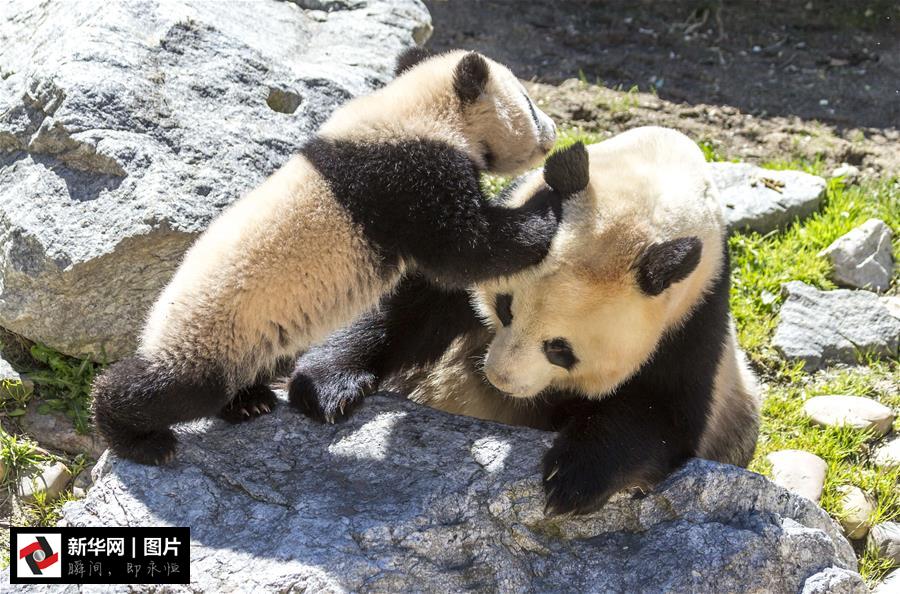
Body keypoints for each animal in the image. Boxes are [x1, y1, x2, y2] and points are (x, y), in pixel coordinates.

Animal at [89, 48, 568, 464]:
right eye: (529, 103)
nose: (554, 131)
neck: (419, 108)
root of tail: (157, 318)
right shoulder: (404, 175)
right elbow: (466, 250)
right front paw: (553, 200)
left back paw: (248, 403)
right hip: (215, 330)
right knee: (174, 387)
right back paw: (136, 435)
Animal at [288, 126, 760, 512]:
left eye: (560, 350)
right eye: (505, 307)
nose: (500, 379)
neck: (657, 175)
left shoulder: (693, 316)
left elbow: (660, 410)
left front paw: (570, 478)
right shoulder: (511, 230)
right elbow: (416, 304)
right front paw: (328, 384)